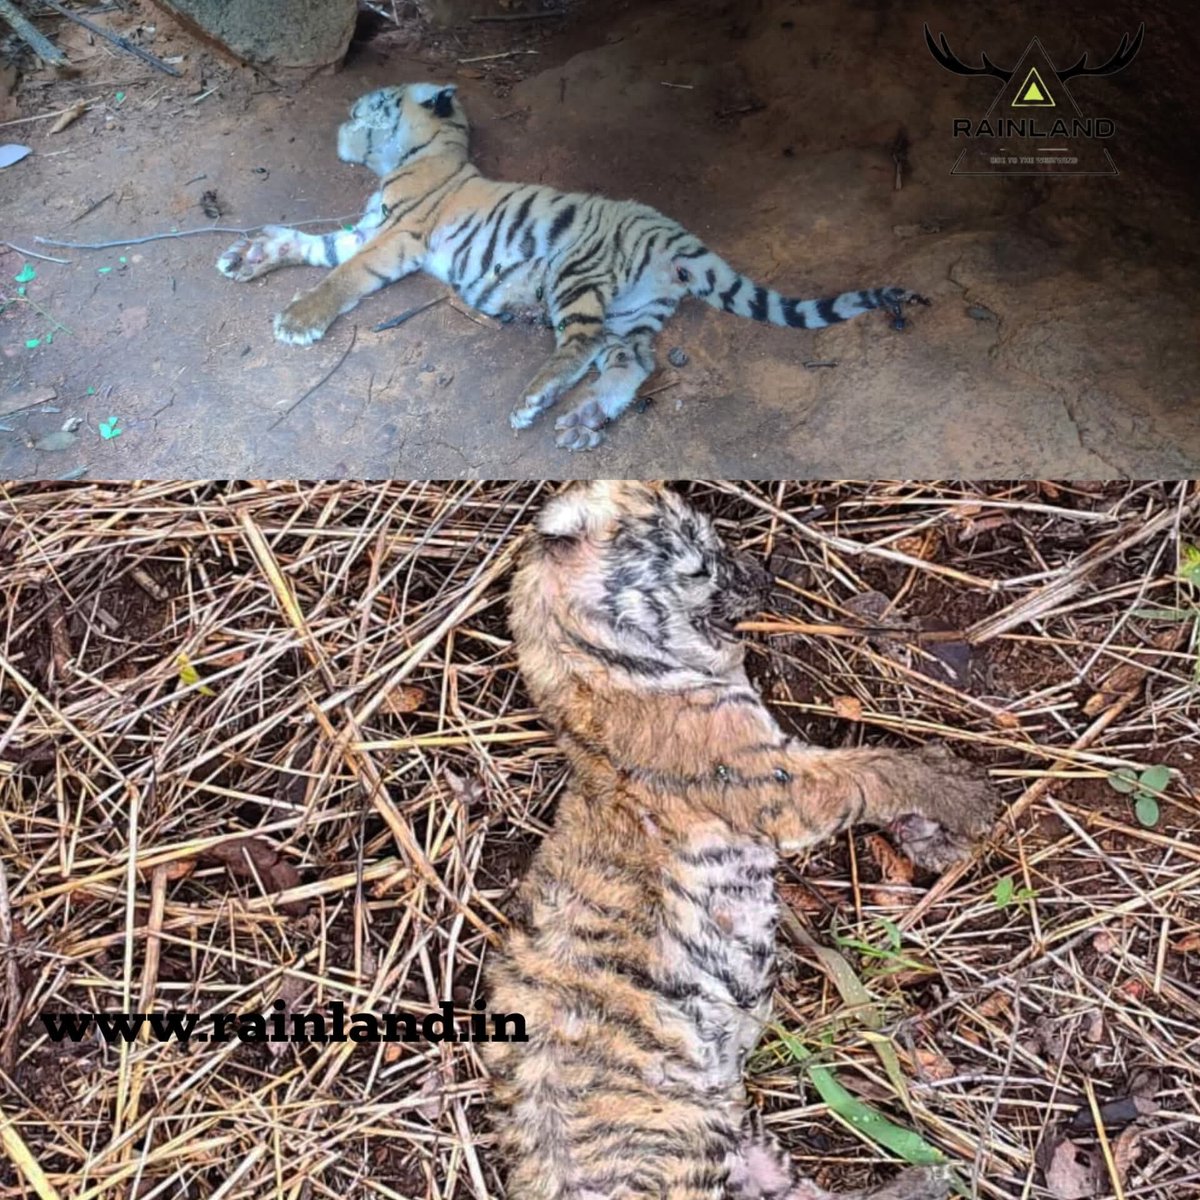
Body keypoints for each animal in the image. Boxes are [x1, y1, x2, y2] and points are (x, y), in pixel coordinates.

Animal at [216, 83, 930, 451]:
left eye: (375, 101)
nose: (346, 114)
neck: (420, 154)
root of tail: (672, 233)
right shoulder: (367, 228)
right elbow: (311, 246)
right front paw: (247, 256)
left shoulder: (395, 236)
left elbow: (340, 276)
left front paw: (298, 320)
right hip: (637, 311)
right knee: (630, 362)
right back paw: (583, 418)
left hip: (576, 277)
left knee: (581, 347)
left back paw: (537, 399)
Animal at [481, 480, 997, 1200]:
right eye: (702, 554)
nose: (765, 573)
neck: (599, 663)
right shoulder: (773, 781)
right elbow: (872, 770)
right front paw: (963, 793)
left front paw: (933, 835)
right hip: (680, 1148)